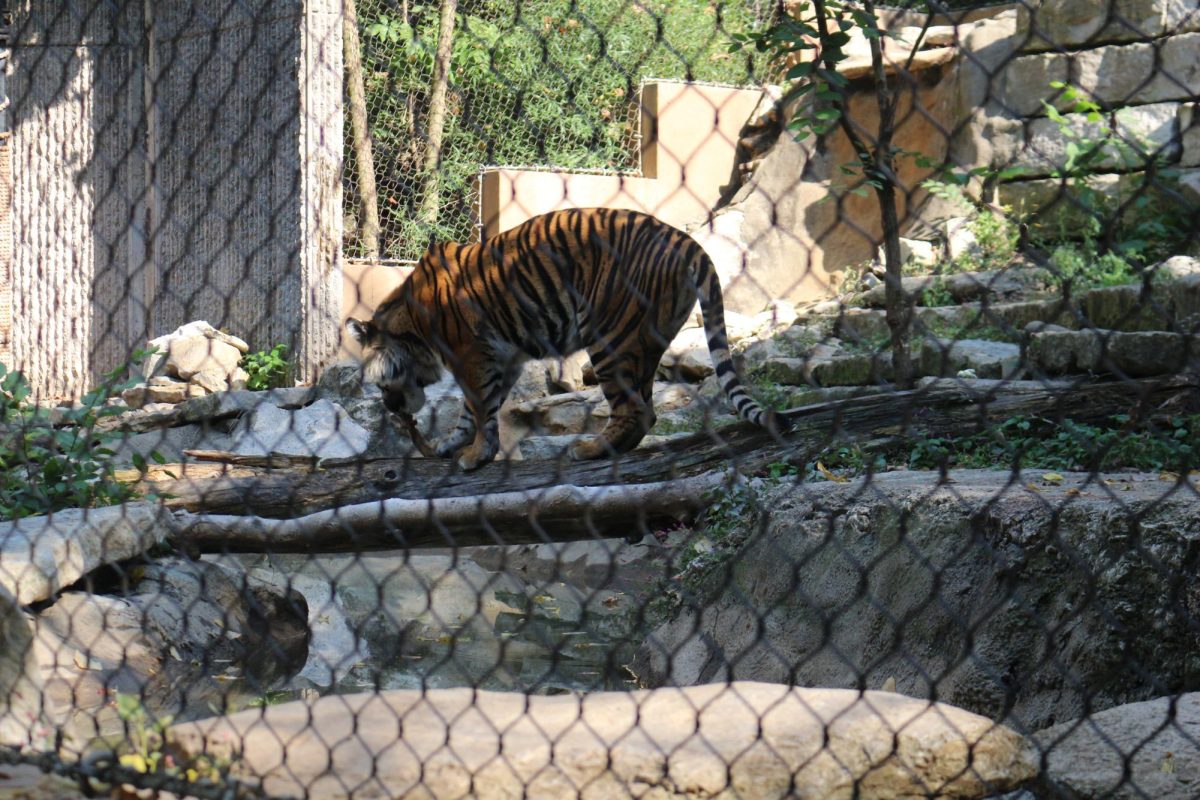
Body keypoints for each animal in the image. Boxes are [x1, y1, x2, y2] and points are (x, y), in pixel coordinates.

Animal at [345, 206, 787, 472]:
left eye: (381, 385)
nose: (390, 407)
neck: (412, 329)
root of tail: (687, 240)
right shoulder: (503, 358)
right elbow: (473, 412)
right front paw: (450, 446)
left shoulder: (472, 358)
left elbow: (480, 409)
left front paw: (474, 456)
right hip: (644, 340)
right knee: (646, 408)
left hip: (611, 337)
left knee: (635, 410)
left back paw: (588, 450)